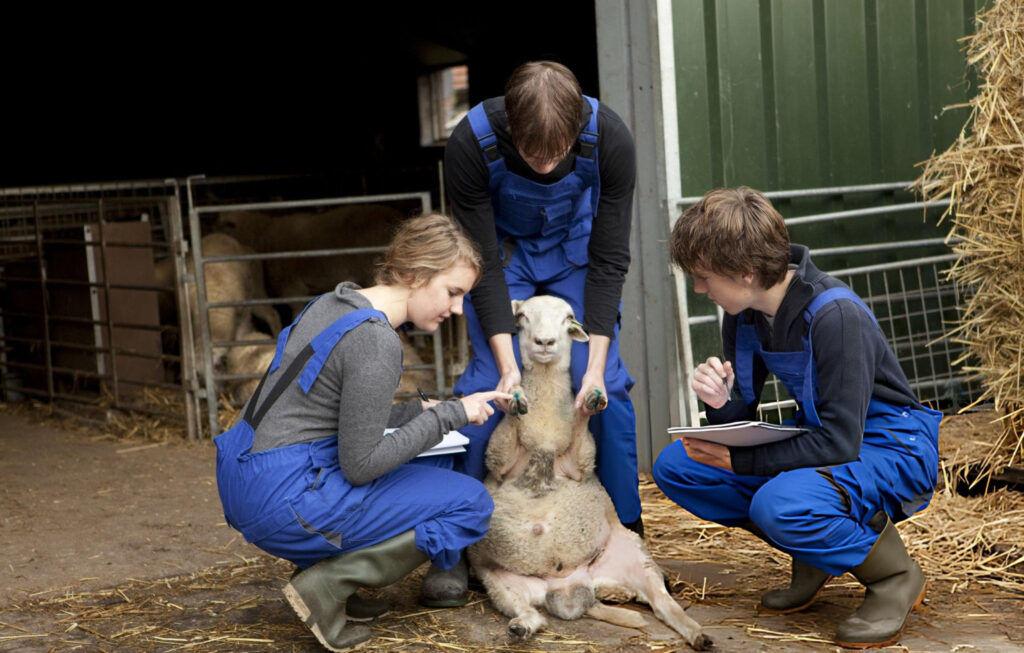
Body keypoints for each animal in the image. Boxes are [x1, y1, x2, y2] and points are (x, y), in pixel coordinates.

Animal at [467, 295, 711, 651]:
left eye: (567, 317)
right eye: (522, 316)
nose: (544, 342)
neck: (545, 435)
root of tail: (568, 585)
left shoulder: (579, 463)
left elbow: (581, 432)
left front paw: (588, 401)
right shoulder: (499, 464)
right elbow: (509, 427)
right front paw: (513, 398)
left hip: (635, 556)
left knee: (663, 603)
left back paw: (698, 634)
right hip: (498, 582)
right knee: (530, 613)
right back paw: (521, 627)